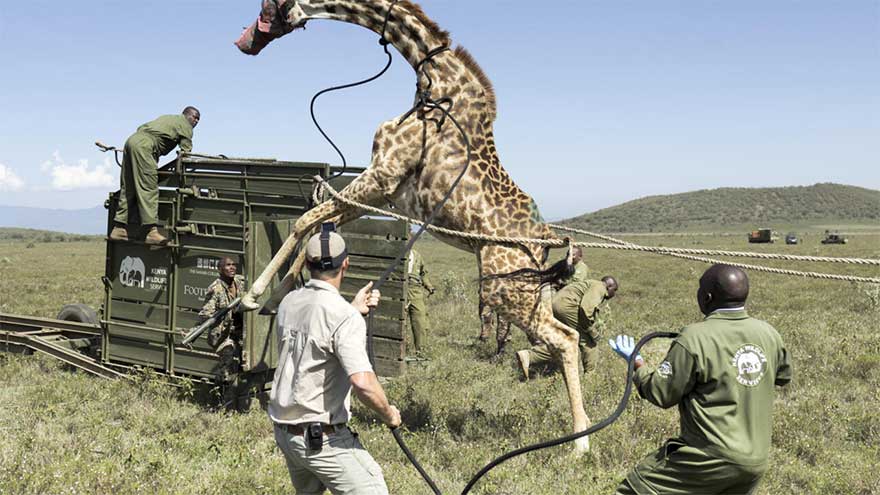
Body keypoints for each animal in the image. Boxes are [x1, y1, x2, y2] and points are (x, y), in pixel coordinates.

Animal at [236, 0, 592, 453]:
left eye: (265, 9)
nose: (244, 42)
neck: (433, 83)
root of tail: (547, 238)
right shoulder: (386, 191)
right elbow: (319, 226)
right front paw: (277, 296)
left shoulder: (383, 174)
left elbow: (306, 220)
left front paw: (251, 297)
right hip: (530, 288)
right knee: (560, 336)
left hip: (502, 287)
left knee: (564, 338)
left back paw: (581, 442)